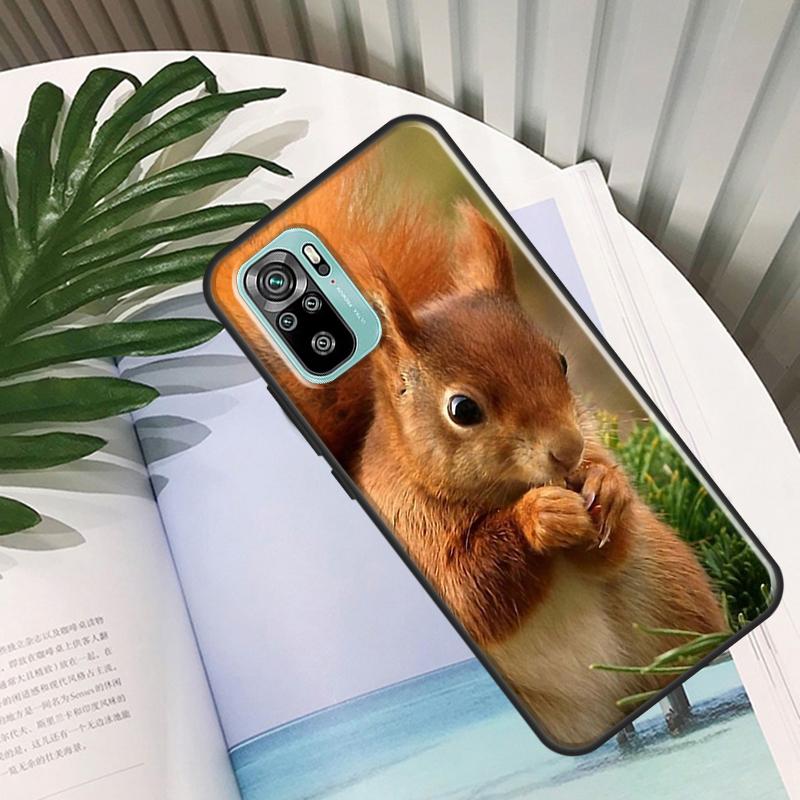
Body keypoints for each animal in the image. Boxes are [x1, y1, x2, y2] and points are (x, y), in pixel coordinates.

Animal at [219, 159, 726, 746]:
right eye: (462, 409)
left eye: (560, 362)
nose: (569, 450)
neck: (501, 492)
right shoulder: (409, 525)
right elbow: (472, 592)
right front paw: (540, 517)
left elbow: (608, 550)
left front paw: (608, 486)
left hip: (669, 594)